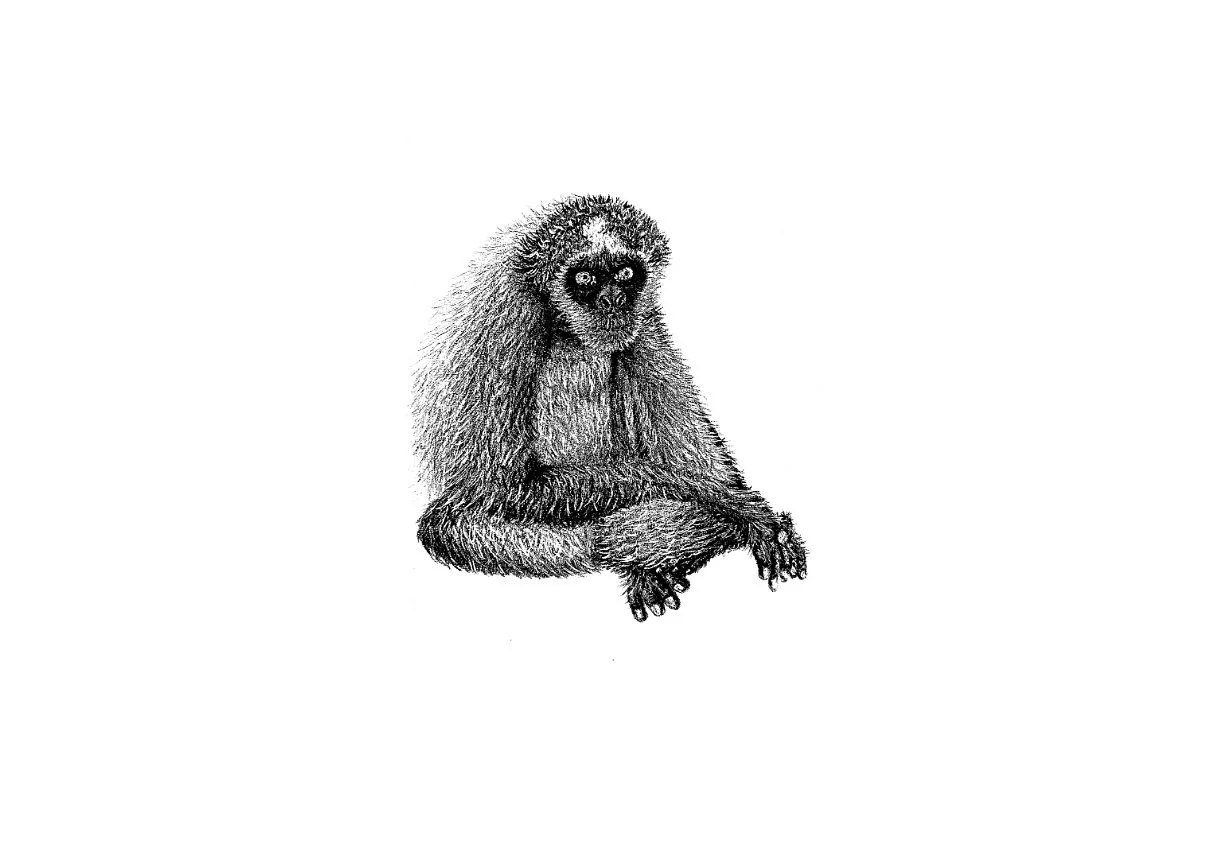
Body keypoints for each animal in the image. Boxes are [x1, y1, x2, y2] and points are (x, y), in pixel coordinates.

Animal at [413, 195, 806, 621]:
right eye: (585, 278)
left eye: (626, 273)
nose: (612, 300)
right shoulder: (506, 318)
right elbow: (500, 487)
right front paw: (728, 505)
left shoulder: (645, 320)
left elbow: (708, 463)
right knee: (455, 525)